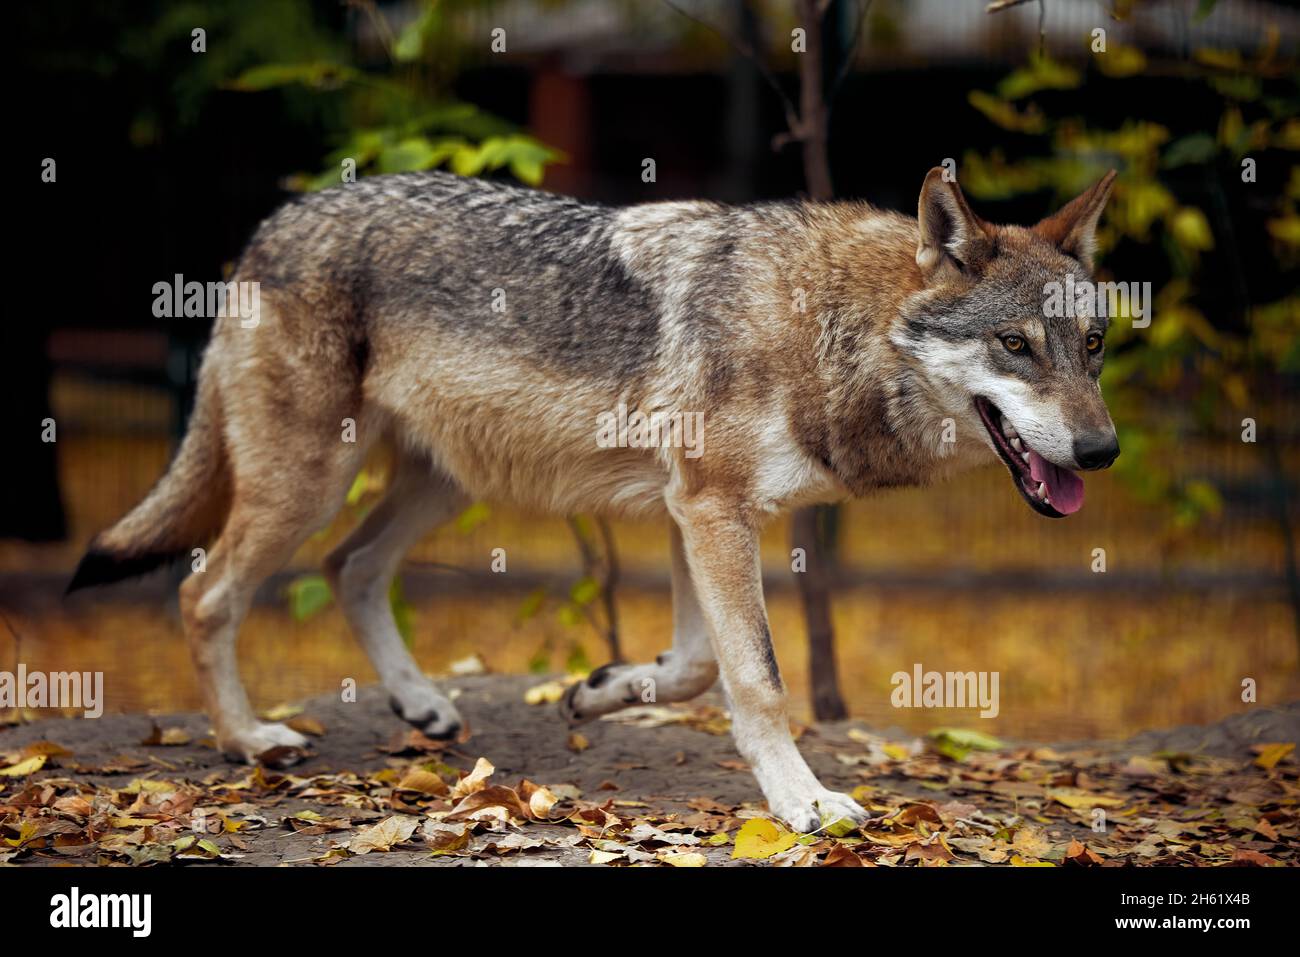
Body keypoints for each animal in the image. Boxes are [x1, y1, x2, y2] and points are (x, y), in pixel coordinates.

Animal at [68, 167, 1120, 832]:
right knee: (205, 593)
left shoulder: (706, 513)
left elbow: (696, 667)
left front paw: (603, 687)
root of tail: (272, 223)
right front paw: (806, 803)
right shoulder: (710, 508)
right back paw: (249, 740)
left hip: (438, 482)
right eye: (1016, 346)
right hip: (310, 482)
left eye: (1094, 347)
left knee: (350, 566)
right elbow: (759, 678)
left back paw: (422, 706)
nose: (1103, 450)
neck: (825, 325)